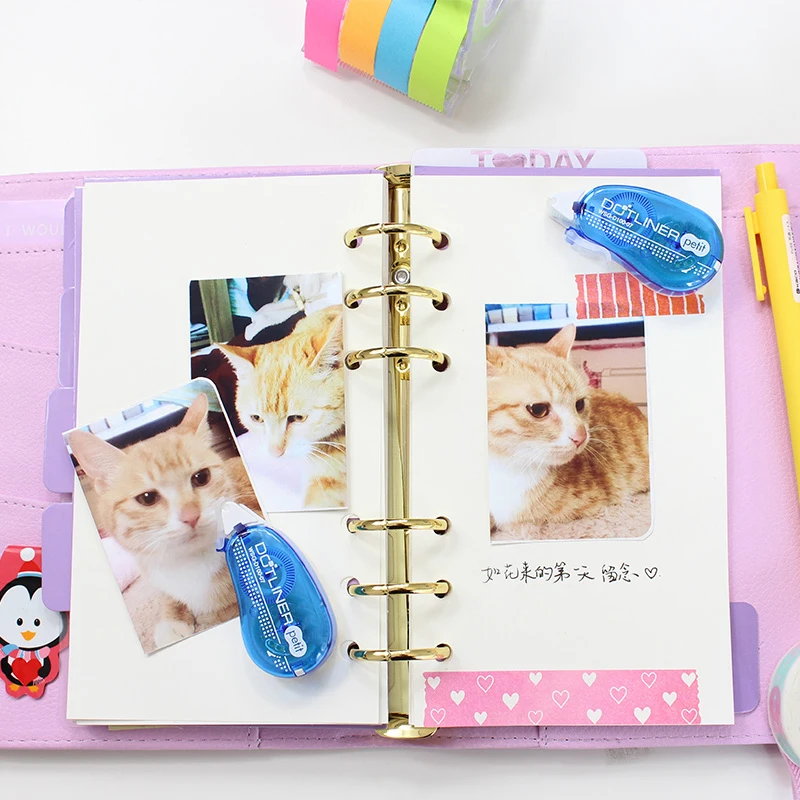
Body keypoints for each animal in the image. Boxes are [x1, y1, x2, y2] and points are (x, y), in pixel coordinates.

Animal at [68, 392, 261, 650]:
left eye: (201, 477)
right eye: (147, 498)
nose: (191, 515)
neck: (188, 563)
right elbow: (168, 596)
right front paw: (172, 619)